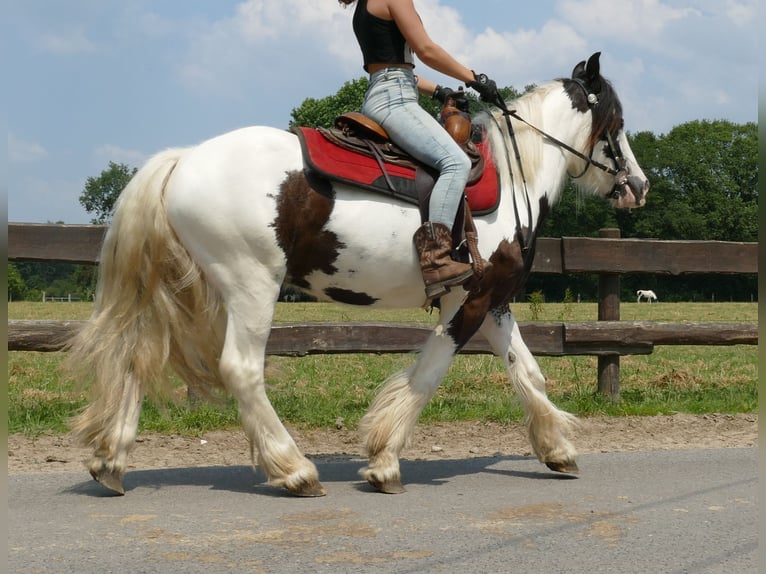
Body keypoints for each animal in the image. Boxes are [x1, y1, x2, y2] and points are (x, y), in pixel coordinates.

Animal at [69, 51, 652, 498]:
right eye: (618, 126)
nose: (639, 186)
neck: (514, 179)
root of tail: (184, 160)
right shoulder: (469, 300)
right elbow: (429, 373)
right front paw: (385, 460)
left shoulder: (493, 300)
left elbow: (527, 373)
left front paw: (558, 449)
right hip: (251, 286)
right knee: (240, 369)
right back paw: (294, 470)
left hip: (180, 289)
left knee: (138, 358)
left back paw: (110, 462)